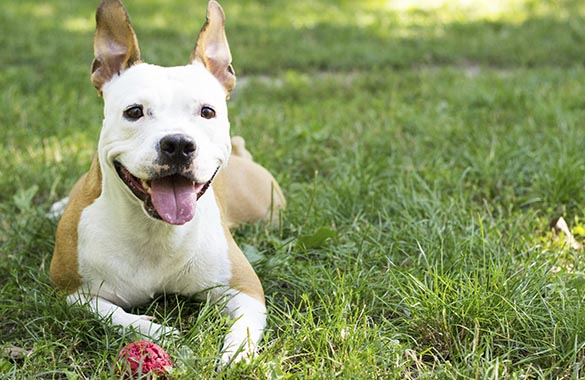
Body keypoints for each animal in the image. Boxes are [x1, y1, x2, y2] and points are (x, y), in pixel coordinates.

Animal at [50, 0, 286, 366]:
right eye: (134, 111)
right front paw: (163, 334)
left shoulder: (246, 290)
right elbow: (115, 314)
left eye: (207, 112)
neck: (155, 230)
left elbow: (244, 330)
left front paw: (234, 357)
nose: (177, 143)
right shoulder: (72, 292)